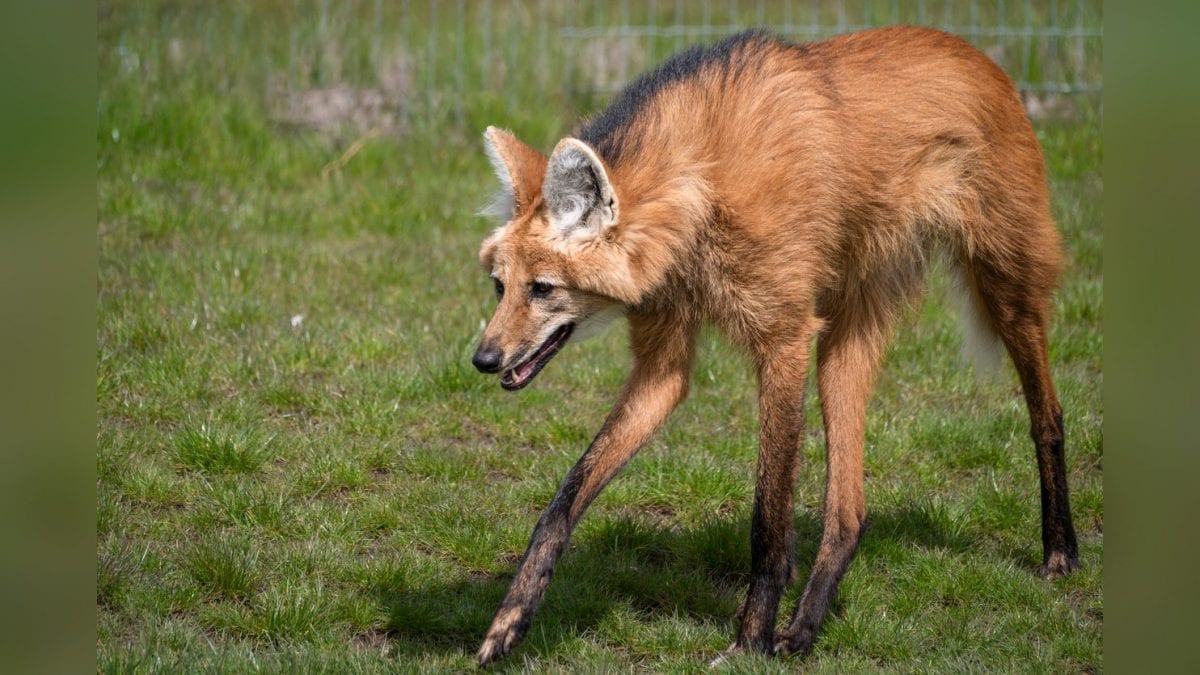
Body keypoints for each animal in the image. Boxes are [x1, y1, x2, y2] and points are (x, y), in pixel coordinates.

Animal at [470, 26, 1078, 664]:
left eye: (543, 289)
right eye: (500, 286)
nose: (482, 360)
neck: (701, 191)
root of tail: (983, 57)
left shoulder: (784, 340)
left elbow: (768, 518)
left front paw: (749, 642)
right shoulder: (664, 364)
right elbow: (565, 499)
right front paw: (510, 619)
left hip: (1005, 285)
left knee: (1048, 411)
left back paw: (1061, 551)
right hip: (842, 341)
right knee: (849, 509)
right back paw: (806, 627)